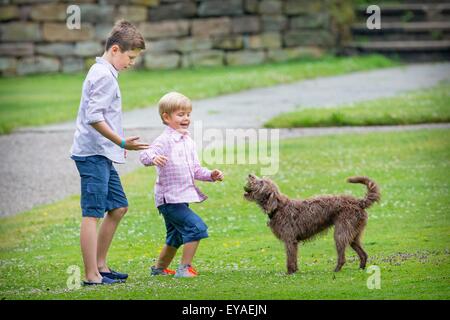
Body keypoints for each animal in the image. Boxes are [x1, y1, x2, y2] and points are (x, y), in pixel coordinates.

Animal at [243, 174, 380, 274]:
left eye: (261, 182)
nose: (250, 175)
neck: (278, 207)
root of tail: (358, 202)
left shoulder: (289, 240)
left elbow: (290, 258)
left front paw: (290, 272)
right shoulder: (293, 242)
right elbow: (294, 258)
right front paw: (295, 271)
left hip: (340, 234)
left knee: (342, 257)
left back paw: (336, 270)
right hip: (353, 235)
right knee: (363, 254)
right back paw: (361, 268)